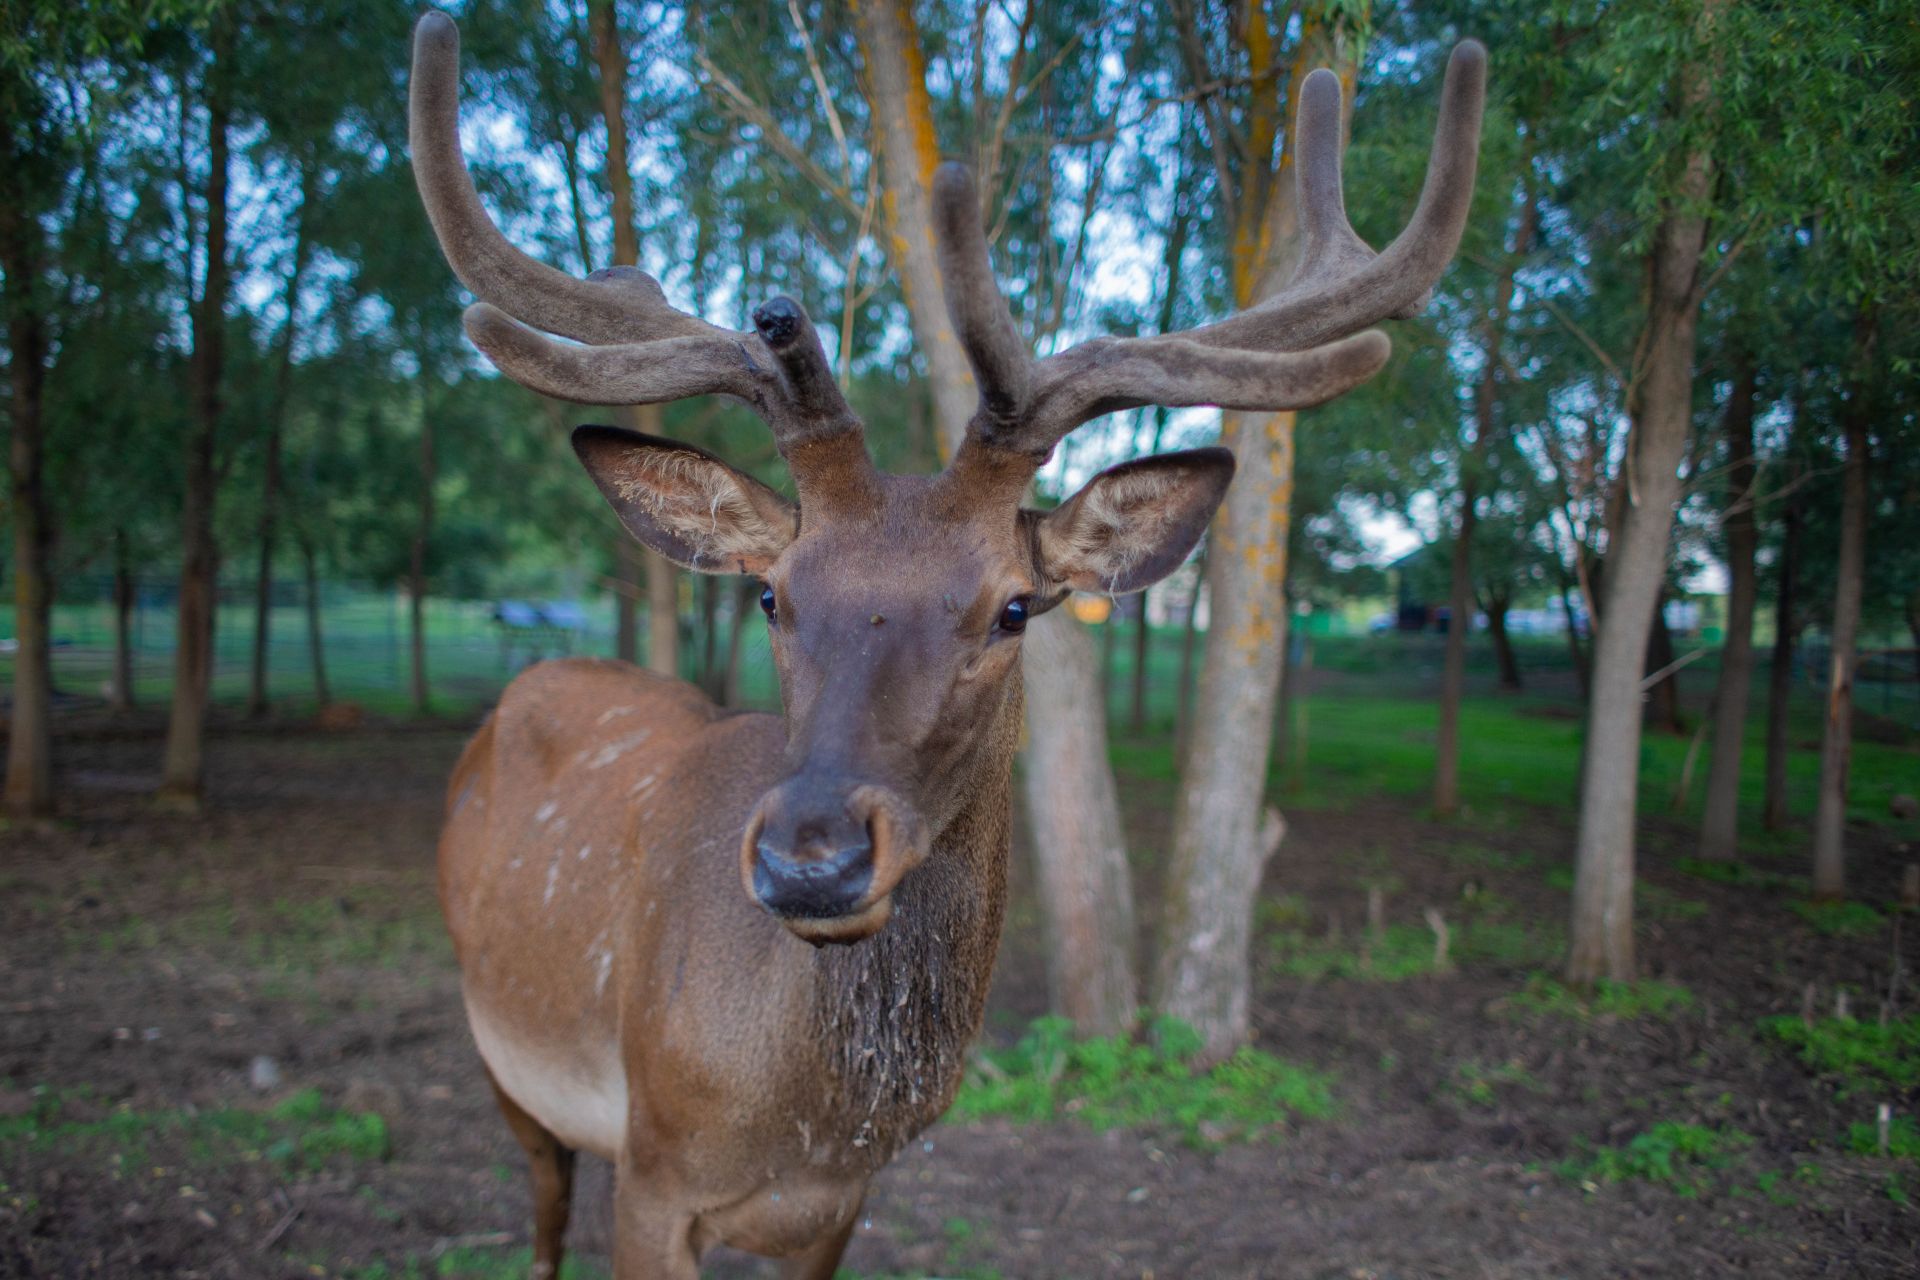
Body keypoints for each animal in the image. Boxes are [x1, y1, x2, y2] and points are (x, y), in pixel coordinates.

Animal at [405, 12, 1482, 1280]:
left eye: (1015, 606)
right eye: (770, 595)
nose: (810, 860)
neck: (803, 1115)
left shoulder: (839, 1204)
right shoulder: (653, 1173)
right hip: (501, 1047)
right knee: (539, 1200)